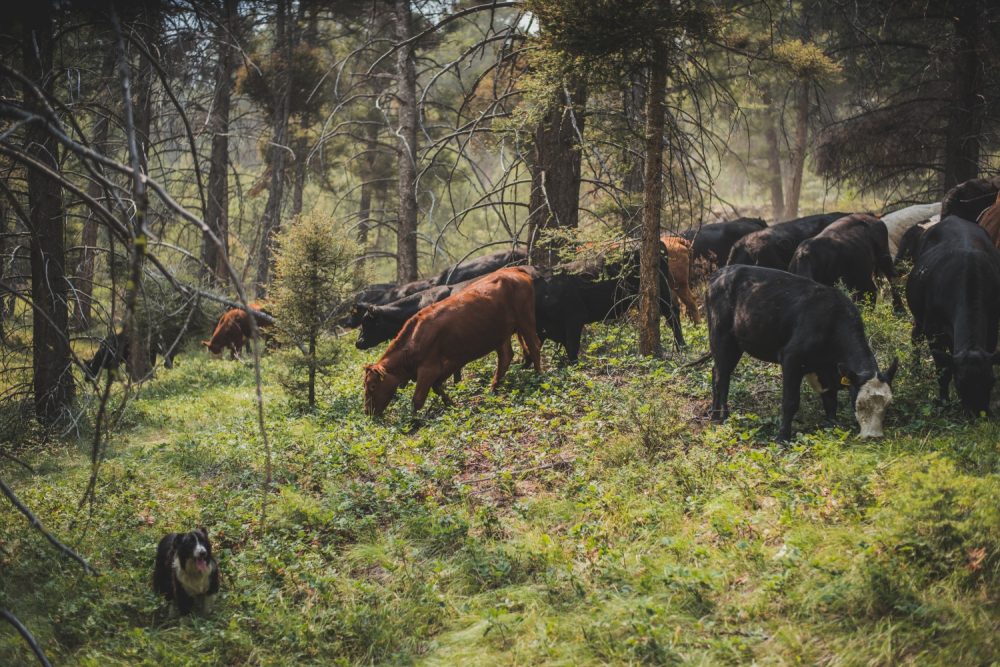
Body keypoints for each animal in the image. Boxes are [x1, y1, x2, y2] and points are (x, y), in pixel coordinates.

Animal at [364, 268, 544, 418]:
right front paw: (450, 404)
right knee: (506, 357)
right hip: (501, 333)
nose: (367, 412)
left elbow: (418, 399)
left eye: (372, 386)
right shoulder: (451, 362)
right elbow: (437, 386)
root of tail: (513, 270)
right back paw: (493, 389)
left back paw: (539, 377)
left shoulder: (429, 368)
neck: (414, 339)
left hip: (525, 319)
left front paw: (412, 421)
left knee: (534, 346)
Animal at [704, 266, 900, 444]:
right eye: (860, 404)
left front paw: (833, 426)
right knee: (722, 377)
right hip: (721, 337)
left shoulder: (826, 370)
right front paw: (782, 438)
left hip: (736, 344)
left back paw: (713, 414)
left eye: (888, 405)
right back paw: (724, 417)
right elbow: (790, 401)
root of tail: (719, 274)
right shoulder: (792, 358)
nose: (874, 436)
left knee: (716, 372)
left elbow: (830, 400)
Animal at [908, 215, 1000, 412]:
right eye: (961, 383)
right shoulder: (933, 330)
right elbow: (943, 370)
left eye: (991, 381)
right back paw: (915, 370)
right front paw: (944, 402)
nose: (978, 413)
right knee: (915, 336)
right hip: (919, 319)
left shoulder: (992, 325)